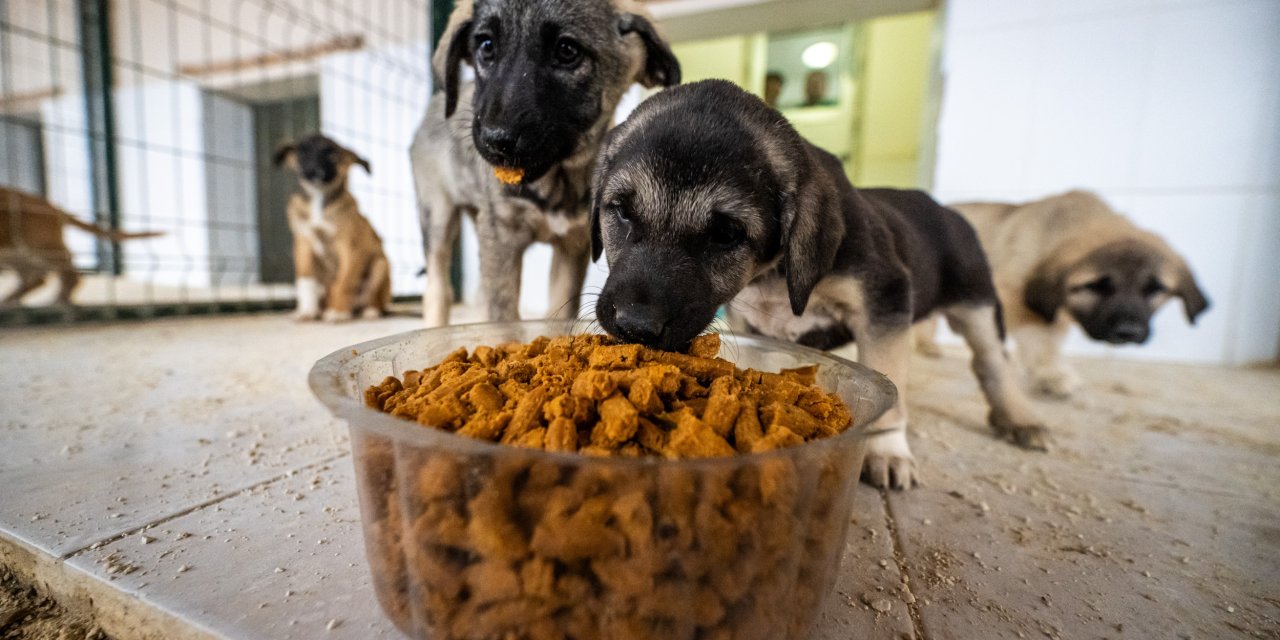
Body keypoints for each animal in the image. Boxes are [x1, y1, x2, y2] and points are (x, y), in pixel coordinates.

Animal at [0, 185, 162, 304]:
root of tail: (55, 208)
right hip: (20, 254)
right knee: (37, 277)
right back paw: (12, 300)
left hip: (39, 243)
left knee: (65, 266)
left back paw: (57, 300)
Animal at [271, 135, 386, 325]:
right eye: (302, 151)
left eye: (332, 155)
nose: (315, 171)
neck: (319, 198)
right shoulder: (303, 243)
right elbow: (306, 279)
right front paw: (306, 311)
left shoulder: (351, 248)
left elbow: (344, 282)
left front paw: (338, 312)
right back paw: (319, 310)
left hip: (380, 265)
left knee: (371, 296)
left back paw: (370, 311)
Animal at [412, 0, 680, 325]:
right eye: (486, 46)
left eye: (567, 51)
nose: (494, 140)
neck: (556, 184)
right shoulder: (502, 238)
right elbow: (503, 318)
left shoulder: (571, 247)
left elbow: (558, 314)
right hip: (437, 216)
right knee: (437, 289)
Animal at [593, 81, 1044, 488]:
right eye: (622, 211)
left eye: (725, 233)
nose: (634, 326)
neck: (772, 272)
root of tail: (945, 209)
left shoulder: (884, 302)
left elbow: (891, 385)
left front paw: (886, 450)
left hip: (978, 304)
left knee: (993, 363)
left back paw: (1019, 417)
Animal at [916, 189, 1203, 396]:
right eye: (1096, 286)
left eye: (1155, 289)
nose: (1128, 333)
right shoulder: (1015, 298)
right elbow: (1040, 338)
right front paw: (1052, 374)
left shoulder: (1057, 309)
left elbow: (1051, 338)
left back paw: (927, 346)